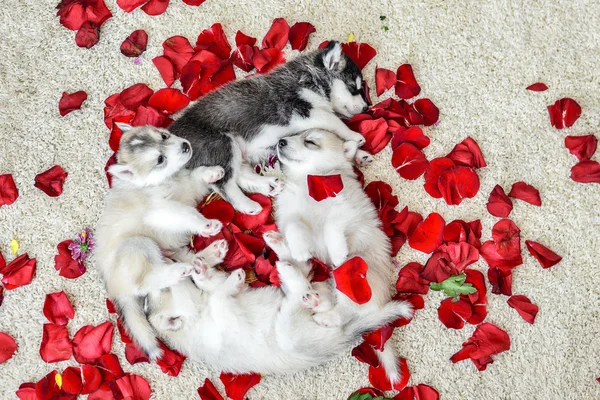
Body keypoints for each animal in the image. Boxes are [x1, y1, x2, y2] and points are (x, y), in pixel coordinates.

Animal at [97, 124, 226, 360]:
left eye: (164, 136)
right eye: (159, 159)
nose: (185, 146)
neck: (166, 181)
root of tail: (114, 288)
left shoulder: (187, 189)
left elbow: (195, 176)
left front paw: (211, 172)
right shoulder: (162, 210)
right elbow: (188, 214)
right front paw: (205, 224)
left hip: (173, 250)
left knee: (194, 261)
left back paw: (213, 253)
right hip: (138, 245)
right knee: (145, 282)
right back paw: (177, 271)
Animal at [145, 231, 410, 376]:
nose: (165, 255)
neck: (200, 311)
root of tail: (344, 335)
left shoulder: (212, 291)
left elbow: (209, 282)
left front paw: (207, 259)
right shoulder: (226, 320)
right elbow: (221, 297)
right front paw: (231, 279)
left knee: (307, 272)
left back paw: (281, 250)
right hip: (288, 333)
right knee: (301, 292)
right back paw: (291, 275)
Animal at [169, 41, 372, 216]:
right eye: (353, 87)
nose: (365, 108)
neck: (308, 78)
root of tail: (173, 131)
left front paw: (358, 154)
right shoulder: (300, 110)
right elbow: (333, 121)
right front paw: (354, 135)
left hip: (241, 151)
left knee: (240, 174)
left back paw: (267, 184)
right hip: (221, 143)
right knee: (224, 183)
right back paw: (247, 204)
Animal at [276, 129, 412, 384]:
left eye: (310, 141)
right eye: (294, 134)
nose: (280, 142)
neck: (309, 178)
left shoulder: (345, 212)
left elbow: (332, 226)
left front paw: (337, 251)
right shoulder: (290, 213)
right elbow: (295, 227)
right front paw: (300, 248)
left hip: (356, 274)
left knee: (348, 311)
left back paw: (326, 317)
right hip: (326, 282)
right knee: (327, 298)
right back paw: (314, 301)